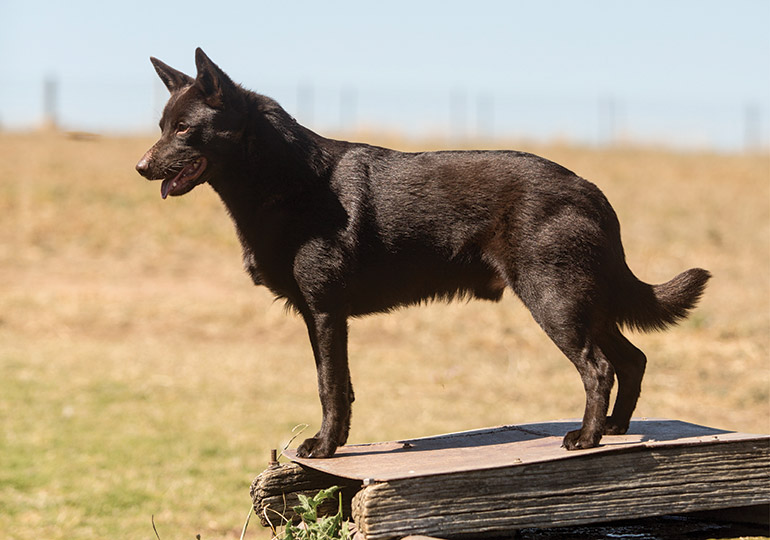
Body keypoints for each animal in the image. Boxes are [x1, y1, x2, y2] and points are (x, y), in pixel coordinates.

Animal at [136, 49, 708, 456]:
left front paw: (324, 447)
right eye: (162, 127)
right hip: (586, 304)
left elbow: (329, 386)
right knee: (633, 358)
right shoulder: (320, 315)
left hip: (556, 303)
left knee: (599, 368)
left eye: (184, 128)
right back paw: (615, 428)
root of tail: (590, 190)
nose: (141, 167)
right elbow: (340, 387)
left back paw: (586, 437)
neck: (290, 180)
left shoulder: (325, 312)